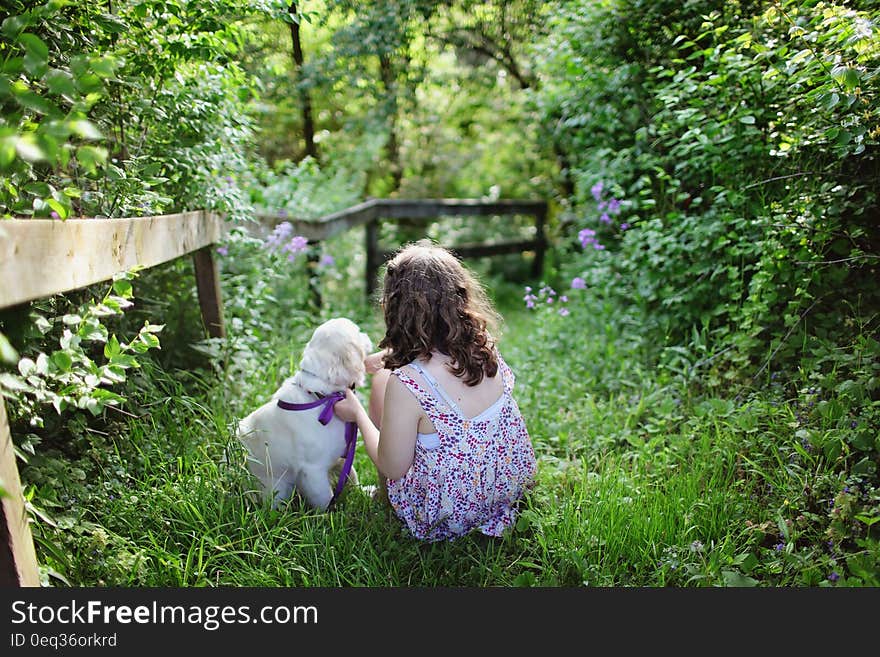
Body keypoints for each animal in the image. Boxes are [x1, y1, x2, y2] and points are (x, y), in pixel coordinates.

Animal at [237, 316, 372, 510]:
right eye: (358, 331)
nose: (368, 335)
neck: (322, 397)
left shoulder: (342, 456)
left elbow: (351, 475)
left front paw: (364, 492)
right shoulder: (313, 470)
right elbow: (325, 498)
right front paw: (330, 515)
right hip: (277, 488)